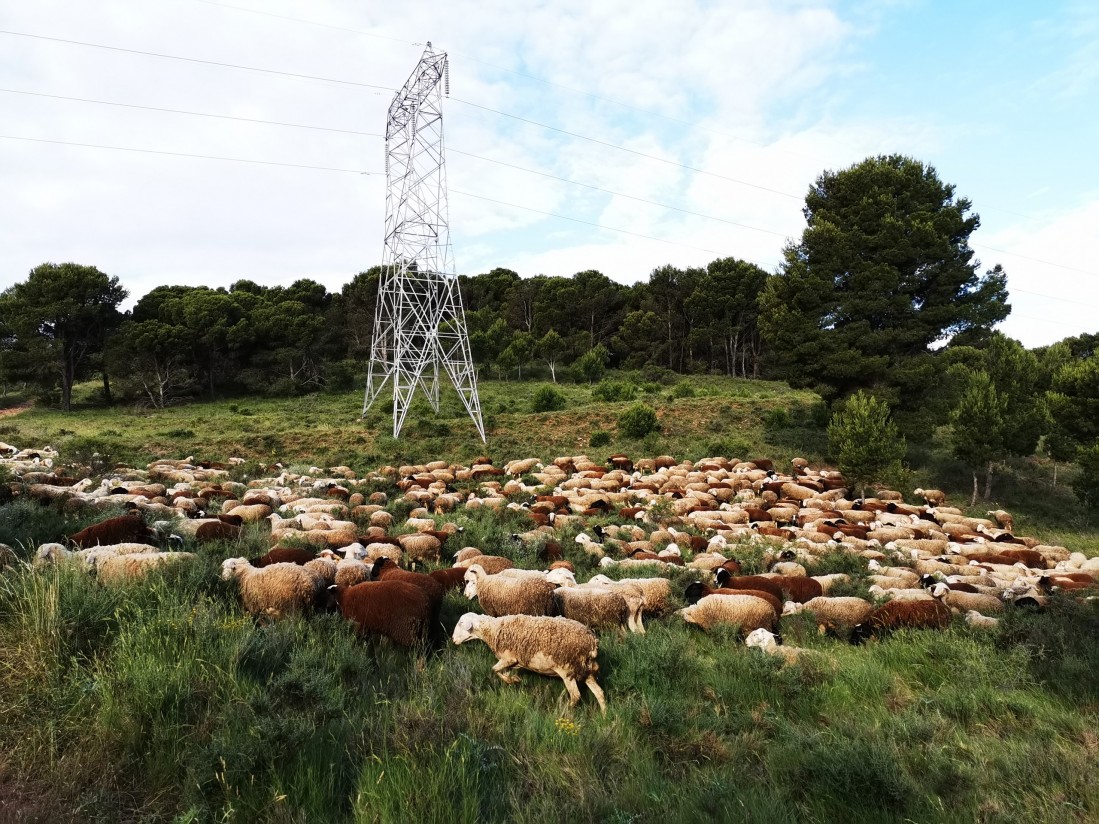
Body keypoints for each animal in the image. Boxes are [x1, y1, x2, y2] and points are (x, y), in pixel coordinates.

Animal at [452, 615, 611, 711]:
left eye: (460, 623)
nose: (453, 640)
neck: (492, 629)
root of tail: (592, 643)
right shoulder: (509, 662)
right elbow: (502, 672)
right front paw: (512, 680)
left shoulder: (509, 658)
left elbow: (494, 669)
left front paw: (514, 680)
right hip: (586, 671)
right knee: (599, 693)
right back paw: (604, 715)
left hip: (568, 670)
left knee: (576, 695)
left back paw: (564, 710)